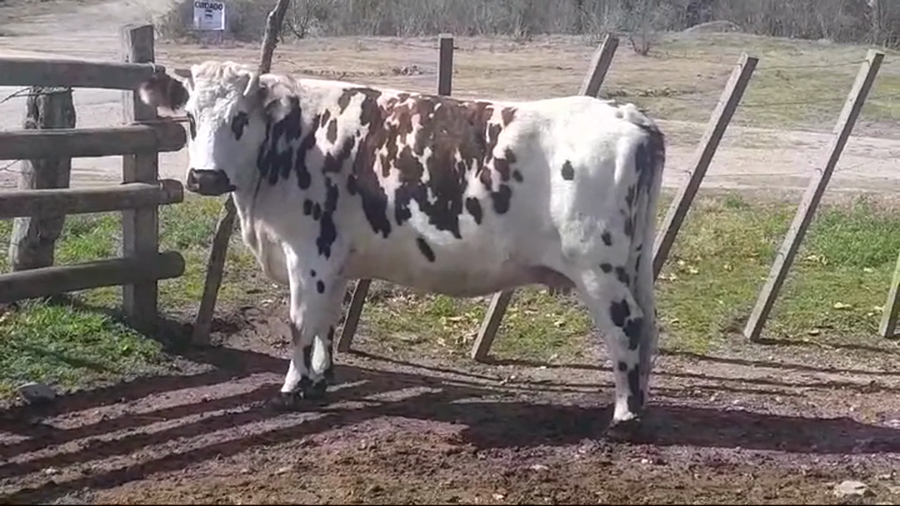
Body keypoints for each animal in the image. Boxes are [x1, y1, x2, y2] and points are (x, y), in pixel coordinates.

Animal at [138, 60, 666, 431]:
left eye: (240, 119)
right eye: (189, 118)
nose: (204, 177)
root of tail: (629, 115)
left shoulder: (307, 253)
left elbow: (299, 323)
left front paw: (291, 389)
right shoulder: (333, 260)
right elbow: (326, 322)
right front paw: (319, 381)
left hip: (598, 269)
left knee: (627, 328)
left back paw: (624, 417)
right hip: (634, 264)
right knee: (650, 328)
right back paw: (639, 405)